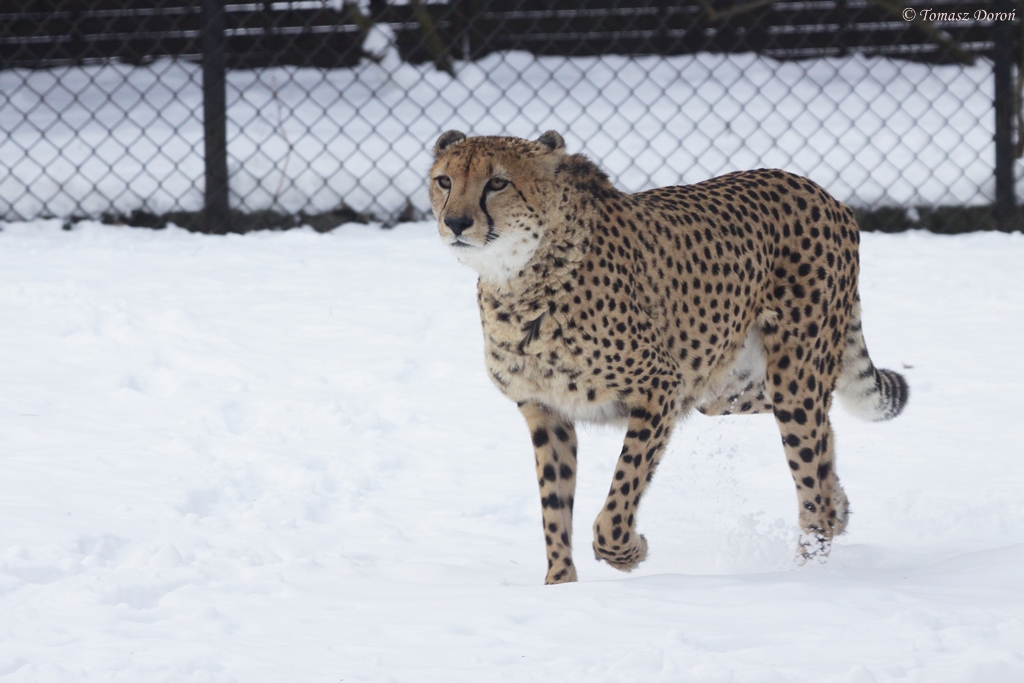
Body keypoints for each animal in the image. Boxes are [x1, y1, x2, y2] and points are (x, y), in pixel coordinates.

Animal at [428, 130, 909, 584]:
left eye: (498, 183)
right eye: (445, 181)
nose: (455, 221)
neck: (519, 277)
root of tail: (822, 192)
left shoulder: (660, 388)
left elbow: (618, 500)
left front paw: (629, 552)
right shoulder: (546, 411)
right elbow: (554, 508)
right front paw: (560, 585)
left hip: (793, 379)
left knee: (811, 476)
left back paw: (810, 570)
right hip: (726, 388)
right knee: (823, 430)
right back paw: (839, 506)